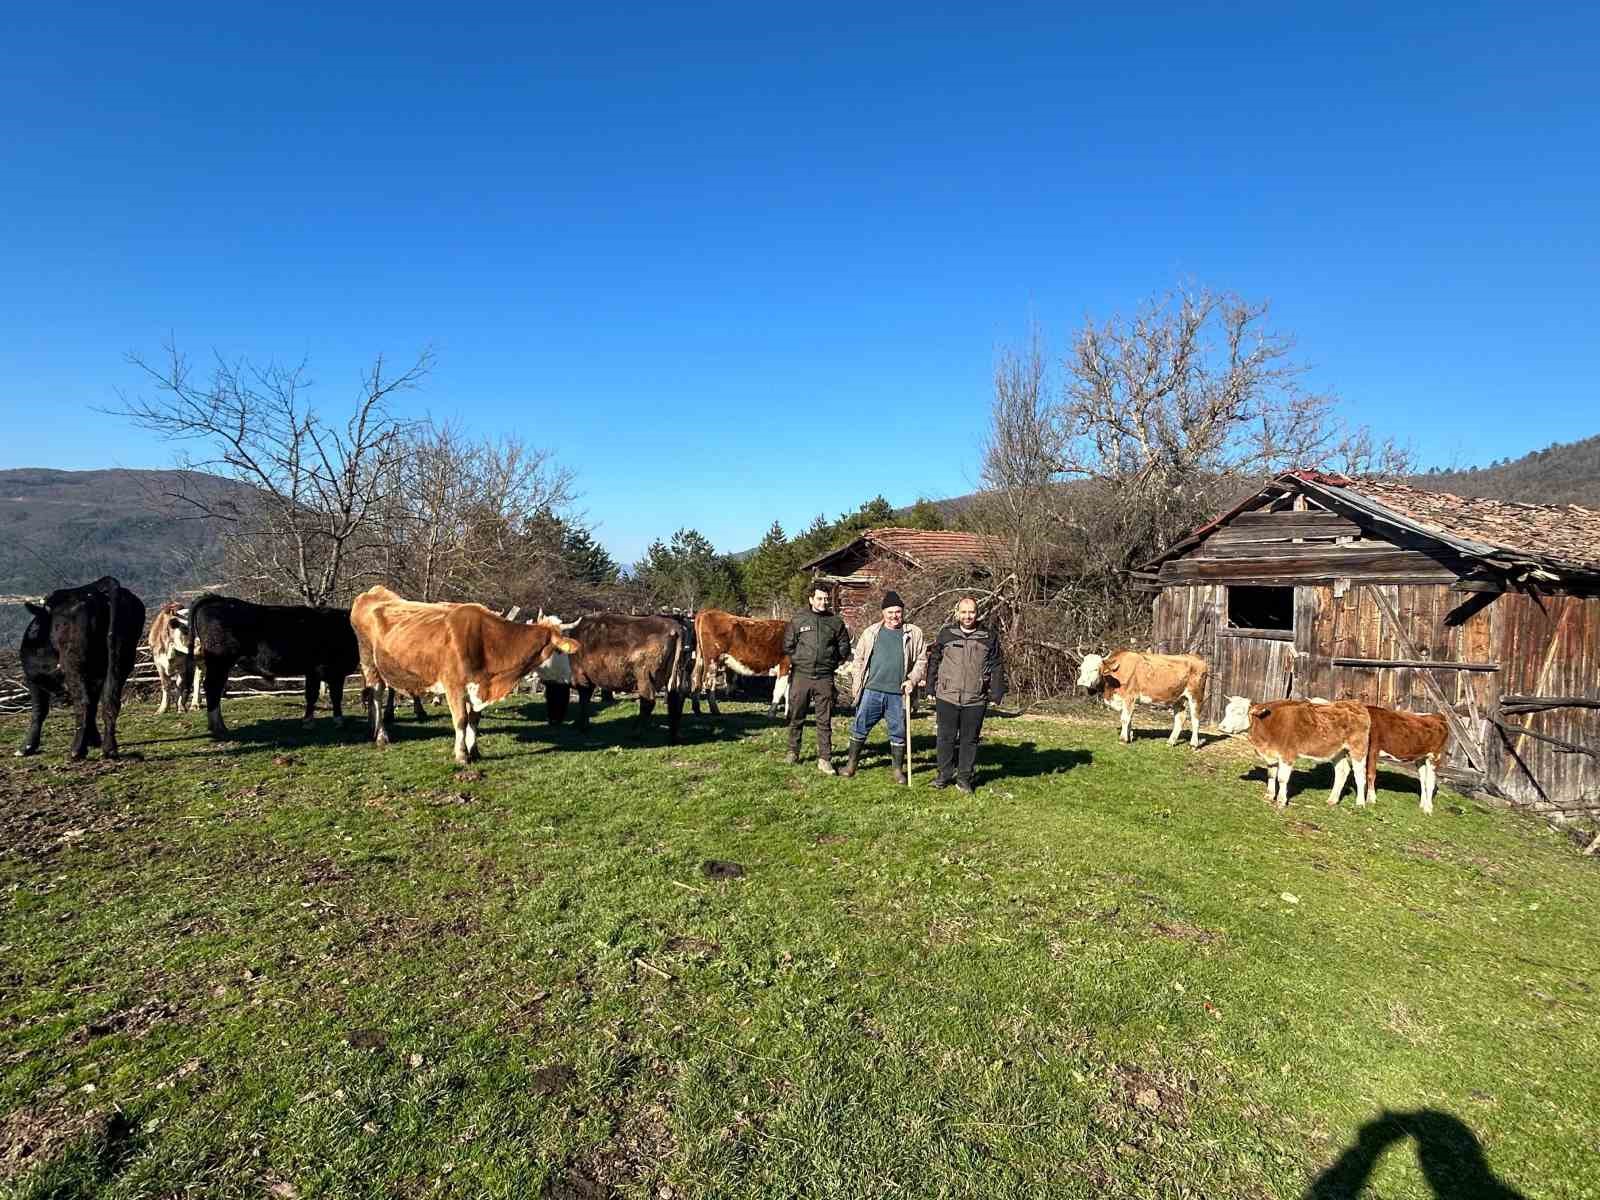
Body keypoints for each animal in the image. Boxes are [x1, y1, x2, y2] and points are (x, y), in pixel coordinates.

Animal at [16, 576, 147, 761]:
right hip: (121, 658)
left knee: (83, 702)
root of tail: (98, 588)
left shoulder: (33, 678)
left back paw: (77, 750)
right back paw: (109, 749)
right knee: (110, 700)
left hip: (73, 663)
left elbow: (38, 711)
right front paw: (93, 740)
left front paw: (27, 747)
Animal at [181, 595, 360, 742]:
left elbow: (316, 696)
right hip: (220, 661)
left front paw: (310, 721)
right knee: (212, 688)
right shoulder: (330, 670)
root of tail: (217, 598)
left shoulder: (316, 671)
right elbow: (328, 695)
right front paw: (335, 721)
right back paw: (219, 728)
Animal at [350, 588, 582, 764]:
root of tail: (373, 593)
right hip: (369, 661)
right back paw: (381, 735)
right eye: (559, 651)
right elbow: (461, 720)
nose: (570, 677)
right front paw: (461, 755)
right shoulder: (454, 686)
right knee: (376, 694)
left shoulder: (477, 686)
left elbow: (474, 720)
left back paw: (372, 728)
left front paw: (474, 751)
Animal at [1216, 700, 1369, 812]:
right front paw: (1269, 795)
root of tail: (1355, 703)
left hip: (1358, 749)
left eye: (1239, 713)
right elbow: (1271, 775)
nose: (1221, 727)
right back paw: (1332, 800)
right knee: (1342, 771)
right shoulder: (1272, 755)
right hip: (1337, 751)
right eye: (1226, 710)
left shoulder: (1287, 755)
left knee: (1360, 776)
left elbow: (1282, 779)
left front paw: (1281, 801)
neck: (1268, 724)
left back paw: (1360, 803)